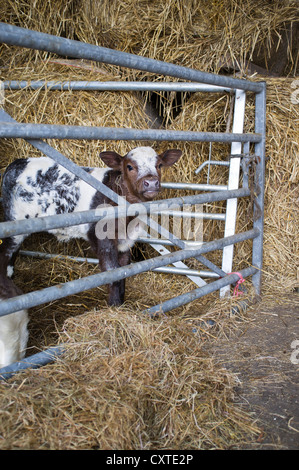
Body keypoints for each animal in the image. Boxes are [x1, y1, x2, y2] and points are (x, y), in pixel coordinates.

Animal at [0, 148, 182, 308]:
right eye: (129, 166)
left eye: (159, 165)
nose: (151, 182)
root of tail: (17, 163)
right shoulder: (102, 239)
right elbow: (112, 273)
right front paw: (114, 306)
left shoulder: (125, 241)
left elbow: (123, 272)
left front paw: (121, 304)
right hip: (14, 222)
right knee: (6, 253)